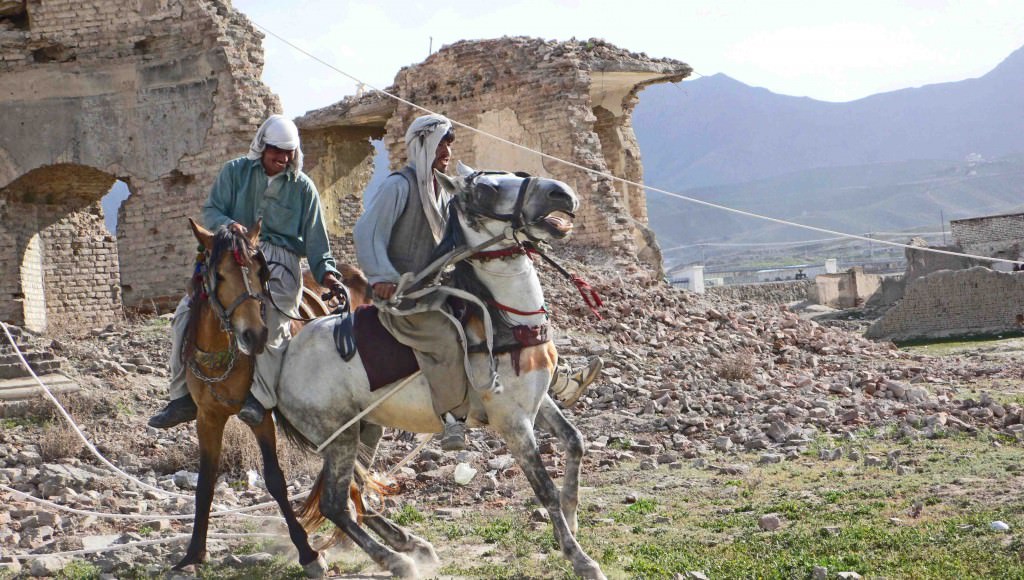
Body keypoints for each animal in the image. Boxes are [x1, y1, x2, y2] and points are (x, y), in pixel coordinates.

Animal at [173, 220, 372, 577]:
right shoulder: (207, 418)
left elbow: (275, 480)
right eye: (218, 274)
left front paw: (308, 553)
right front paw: (194, 553)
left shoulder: (261, 416)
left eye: (259, 272)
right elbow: (205, 483)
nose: (255, 335)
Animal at [276, 161, 602, 577]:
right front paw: (580, 559)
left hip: (364, 431)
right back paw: (397, 560)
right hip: (339, 438)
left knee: (355, 494)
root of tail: (281, 363)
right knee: (336, 504)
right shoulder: (512, 422)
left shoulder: (537, 401)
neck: (504, 320)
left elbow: (575, 441)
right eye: (487, 190)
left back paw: (412, 544)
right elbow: (544, 488)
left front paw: (573, 518)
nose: (561, 193)